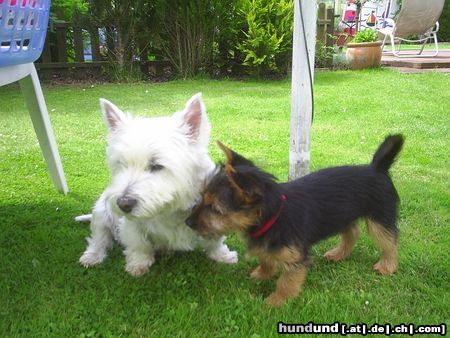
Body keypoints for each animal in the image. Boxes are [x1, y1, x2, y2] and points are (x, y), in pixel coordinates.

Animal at [78, 93, 239, 278]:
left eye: (156, 166)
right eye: (121, 164)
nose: (123, 204)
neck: (170, 209)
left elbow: (215, 242)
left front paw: (223, 256)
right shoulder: (133, 226)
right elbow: (139, 245)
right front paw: (138, 265)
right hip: (101, 213)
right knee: (99, 238)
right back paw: (91, 256)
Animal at [185, 135, 404, 306]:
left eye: (215, 209)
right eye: (202, 197)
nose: (187, 222)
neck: (273, 215)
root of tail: (377, 168)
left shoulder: (295, 258)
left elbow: (285, 282)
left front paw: (275, 302)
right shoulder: (268, 243)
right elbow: (266, 259)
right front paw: (262, 274)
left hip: (379, 219)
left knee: (390, 241)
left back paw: (387, 266)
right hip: (345, 214)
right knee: (352, 232)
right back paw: (339, 254)